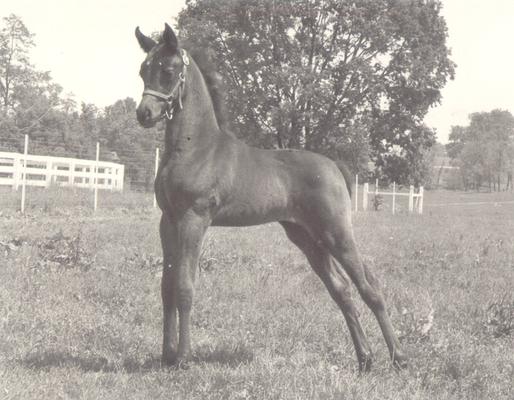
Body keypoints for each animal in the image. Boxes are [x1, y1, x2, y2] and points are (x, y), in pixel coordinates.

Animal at [134, 23, 406, 370]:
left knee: (370, 288)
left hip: (337, 233)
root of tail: (334, 166)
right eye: (143, 70)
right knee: (342, 290)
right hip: (307, 238)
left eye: (168, 71)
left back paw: (400, 358)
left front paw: (183, 359)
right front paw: (166, 356)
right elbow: (166, 286)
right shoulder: (168, 221)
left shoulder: (194, 219)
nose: (144, 113)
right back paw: (365, 360)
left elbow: (184, 287)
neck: (195, 147)